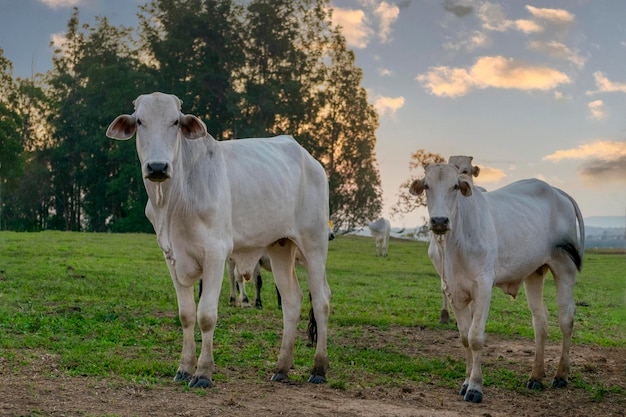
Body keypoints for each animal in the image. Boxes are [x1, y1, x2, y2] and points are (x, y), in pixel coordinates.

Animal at [107, 92, 332, 388]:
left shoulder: (215, 254)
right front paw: (184, 368)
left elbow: (206, 316)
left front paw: (203, 373)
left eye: (175, 121)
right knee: (292, 301)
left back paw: (318, 369)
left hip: (314, 244)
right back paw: (282, 368)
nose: (157, 167)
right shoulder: (172, 257)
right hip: (280, 246)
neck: (174, 201)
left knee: (321, 301)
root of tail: (310, 160)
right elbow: (186, 314)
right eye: (140, 121)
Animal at [408, 163, 584, 404]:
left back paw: (561, 375)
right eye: (427, 186)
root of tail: (558, 192)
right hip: (534, 274)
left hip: (564, 267)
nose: (439, 221)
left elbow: (475, 337)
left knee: (566, 319)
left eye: (455, 186)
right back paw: (536, 377)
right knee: (540, 322)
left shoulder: (483, 287)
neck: (454, 244)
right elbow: (464, 337)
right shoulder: (453, 291)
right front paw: (465, 383)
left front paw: (475, 387)